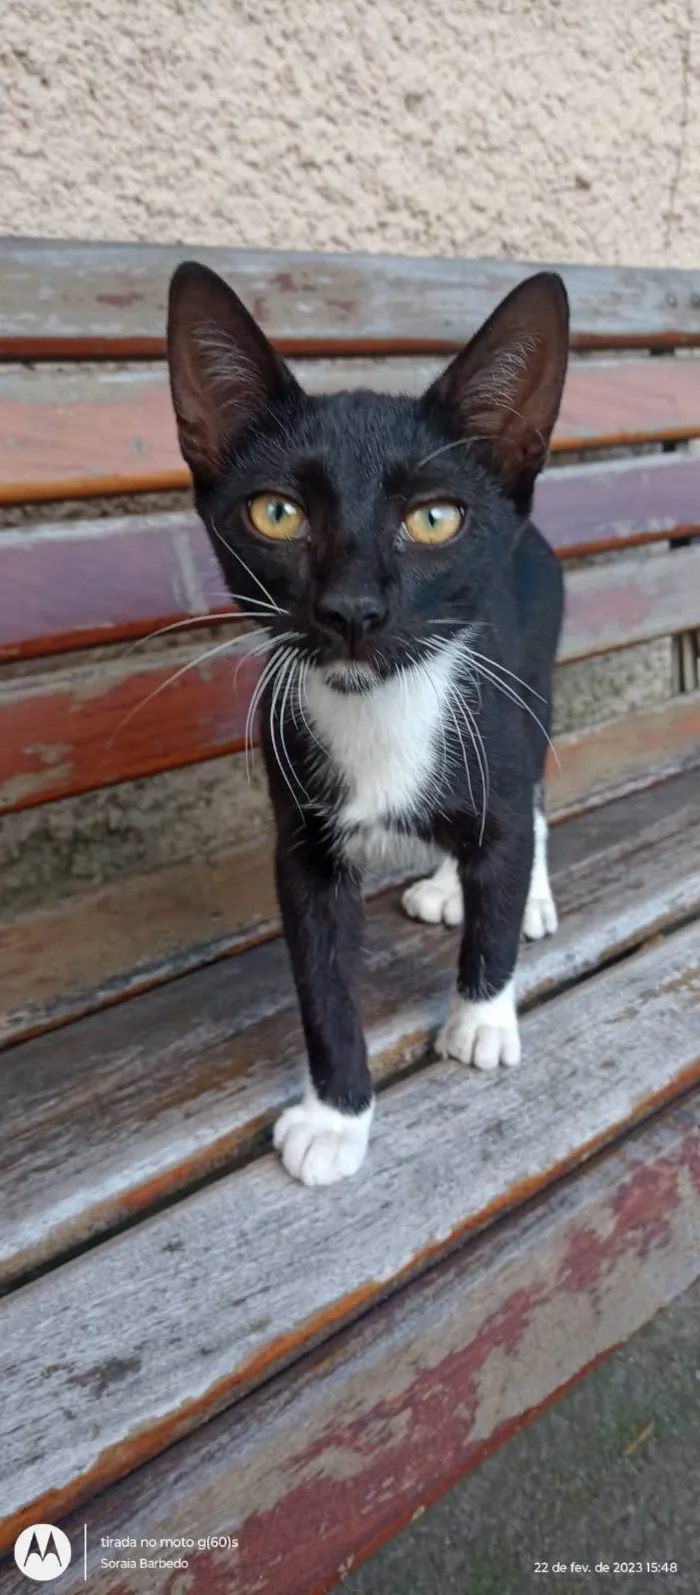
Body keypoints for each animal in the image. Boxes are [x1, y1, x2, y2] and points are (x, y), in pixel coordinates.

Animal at [168, 261, 570, 1186]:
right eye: (277, 513)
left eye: (435, 518)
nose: (352, 609)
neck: (381, 708)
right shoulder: (302, 843)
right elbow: (321, 980)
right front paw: (336, 1116)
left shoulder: (493, 727)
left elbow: (501, 861)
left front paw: (482, 1016)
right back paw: (443, 882)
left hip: (531, 677)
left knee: (532, 788)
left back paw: (524, 895)